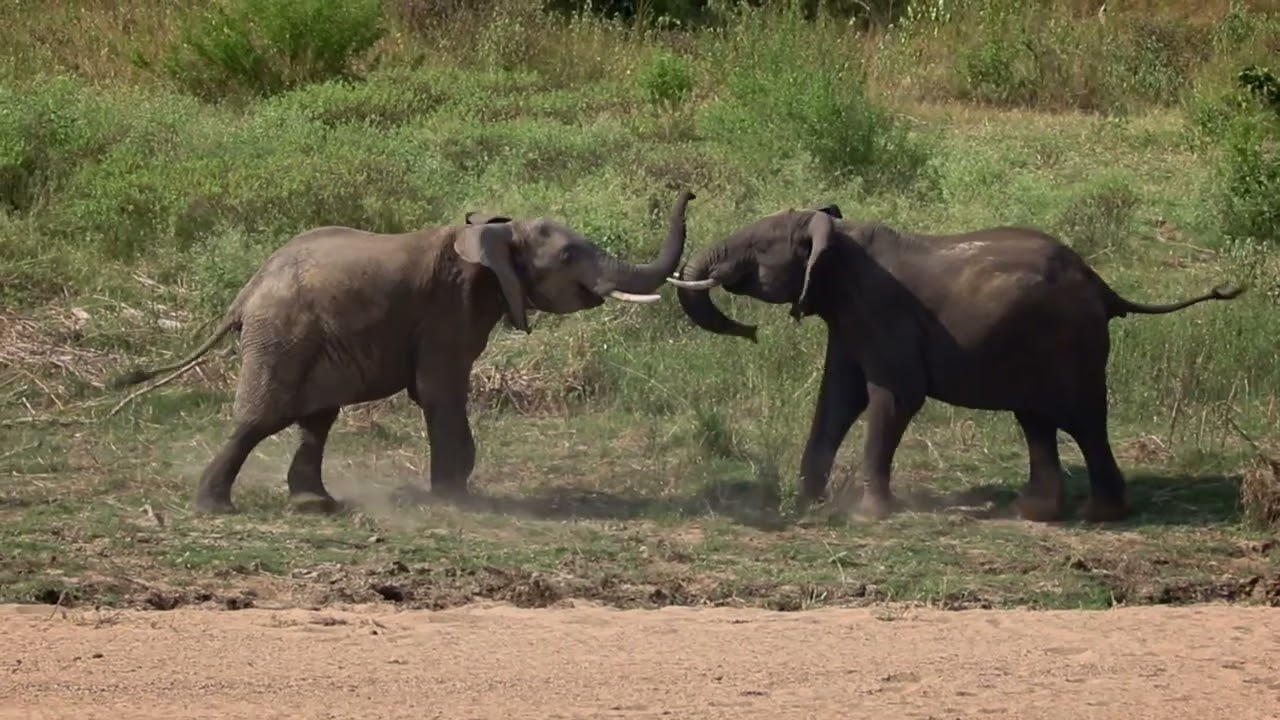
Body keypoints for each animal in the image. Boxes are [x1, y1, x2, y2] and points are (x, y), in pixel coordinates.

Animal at [109, 189, 704, 515]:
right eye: (566, 256)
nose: (692, 195)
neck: (495, 233)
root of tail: (247, 291)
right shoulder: (448, 306)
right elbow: (441, 392)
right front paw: (456, 500)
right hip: (283, 334)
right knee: (260, 418)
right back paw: (216, 507)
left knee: (315, 419)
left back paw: (315, 506)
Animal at [672, 204, 1245, 523]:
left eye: (757, 247)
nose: (751, 332)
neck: (837, 232)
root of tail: (1102, 285)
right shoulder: (850, 318)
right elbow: (837, 398)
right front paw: (807, 506)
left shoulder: (883, 312)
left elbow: (894, 397)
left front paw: (866, 516)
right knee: (1036, 421)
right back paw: (1034, 514)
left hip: (1071, 343)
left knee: (1082, 420)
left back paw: (1098, 517)